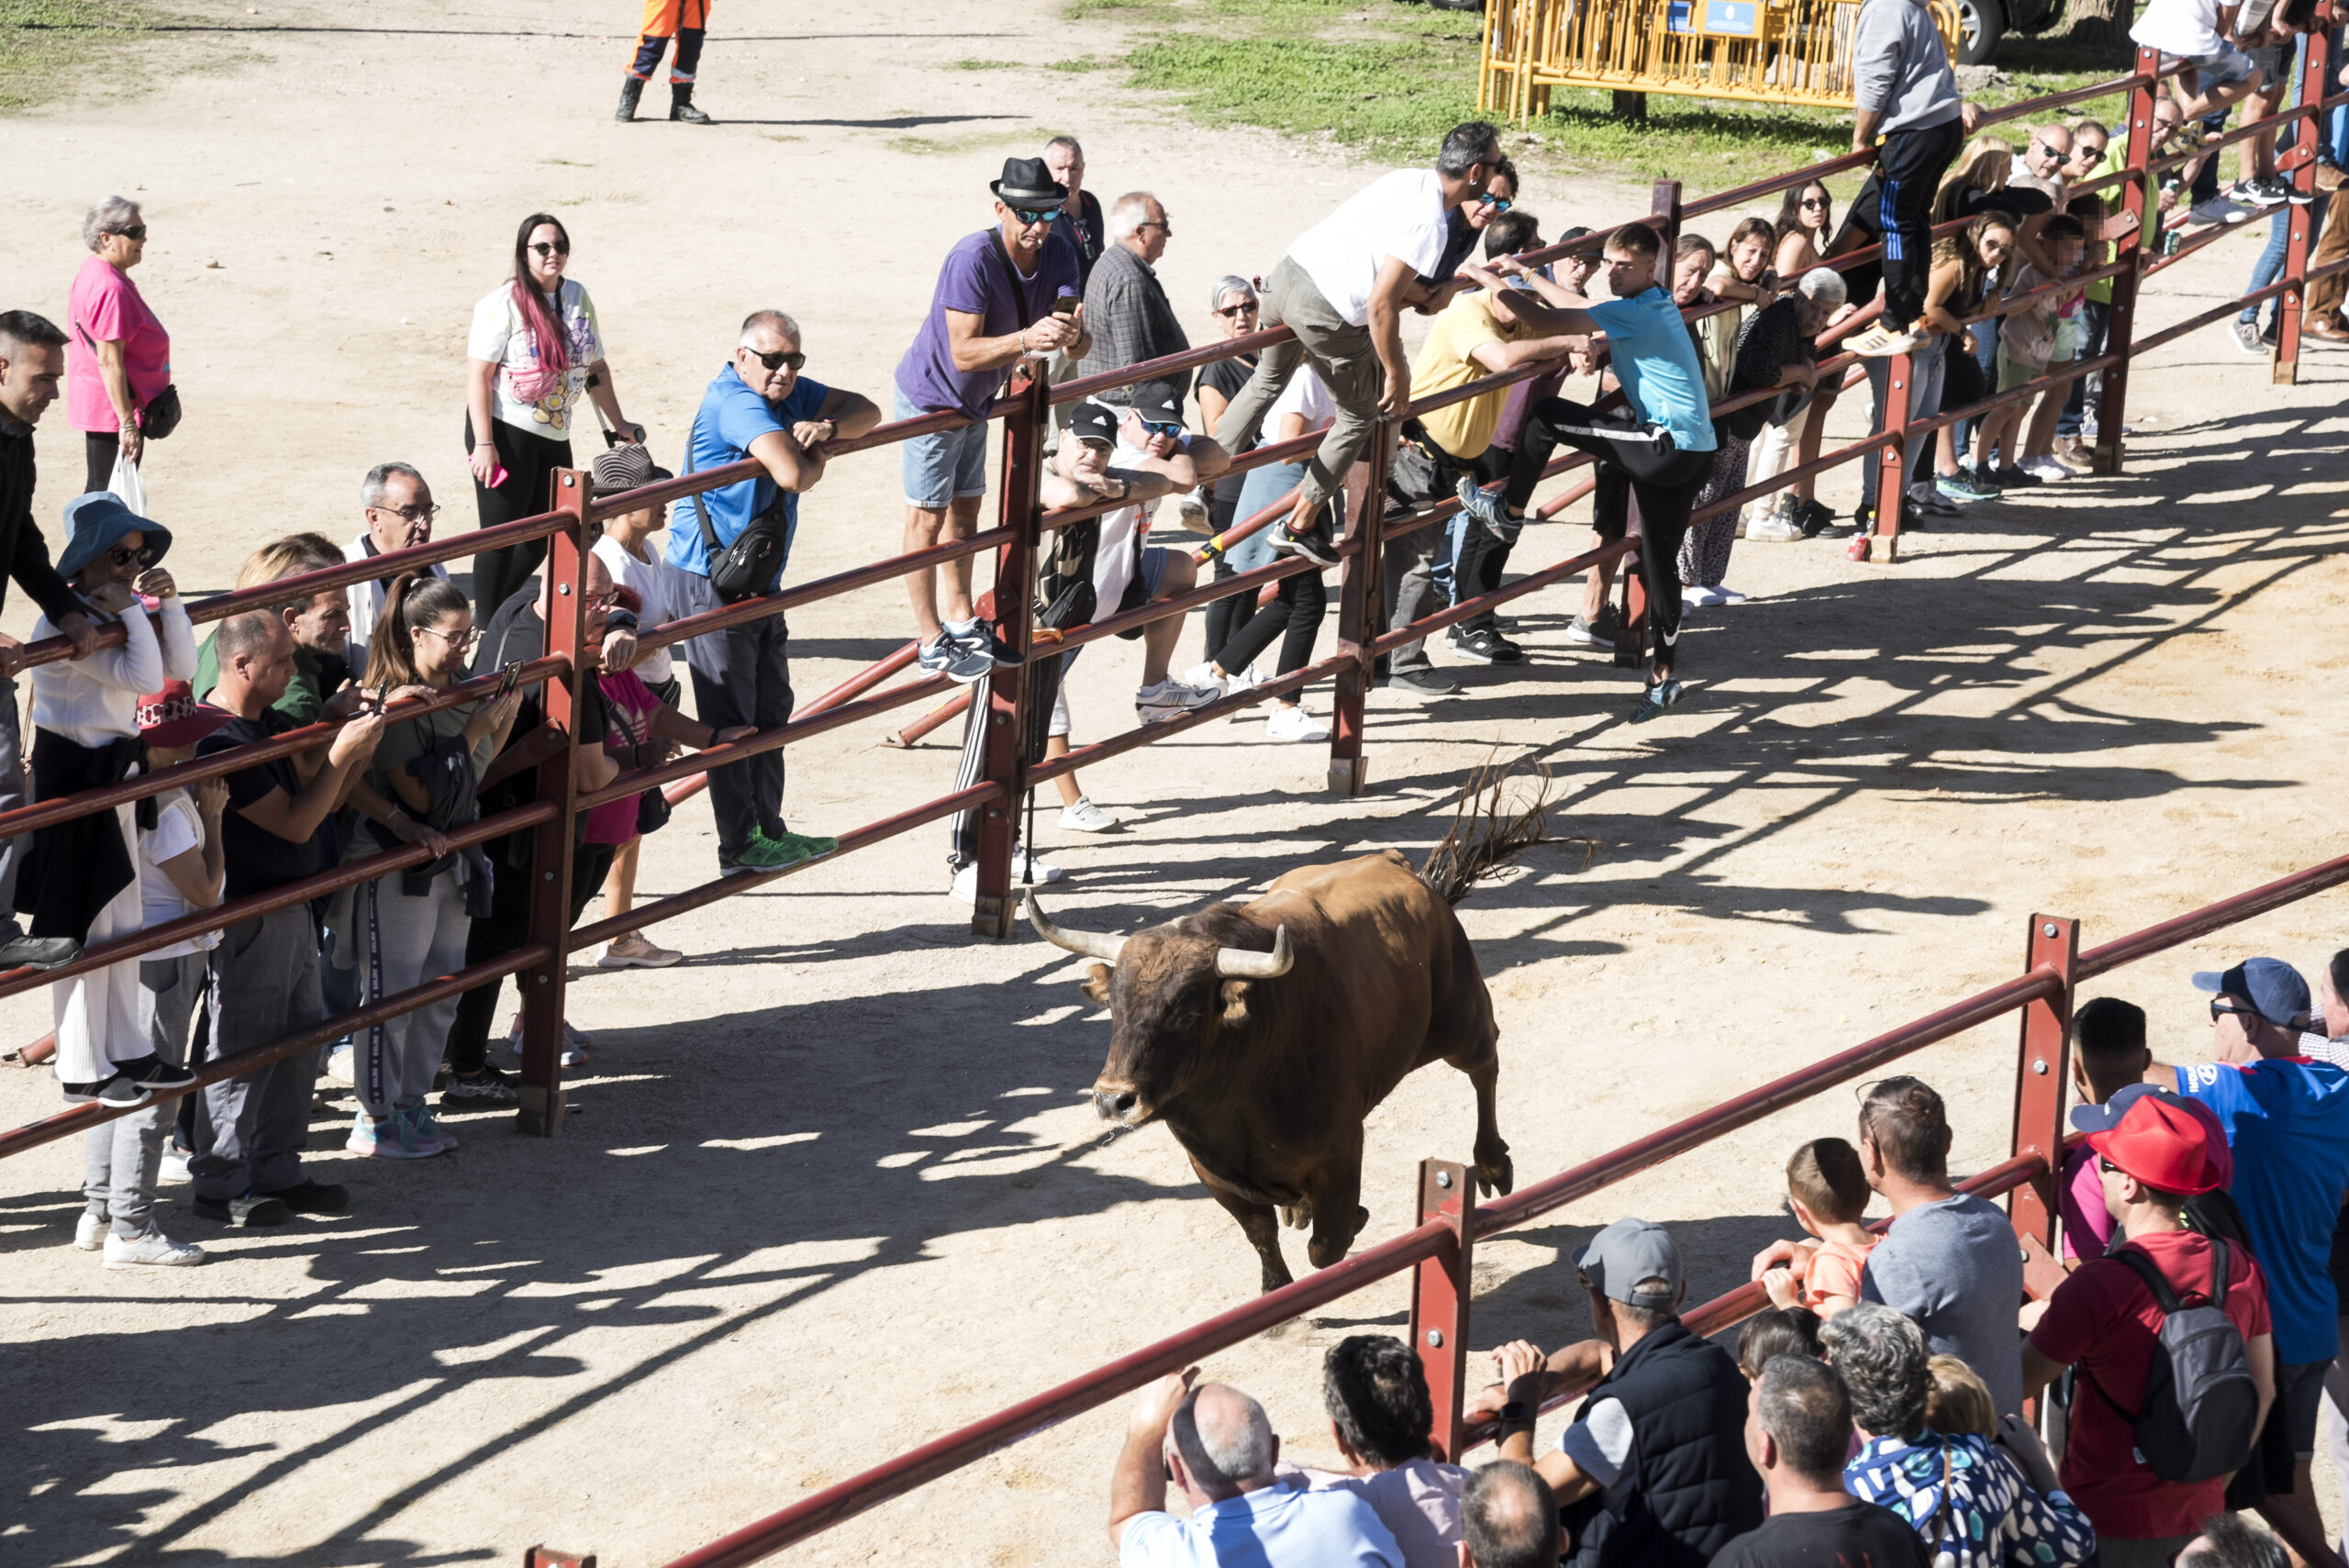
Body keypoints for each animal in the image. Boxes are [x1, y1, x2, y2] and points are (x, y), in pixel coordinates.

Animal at [1033, 850, 1512, 1296]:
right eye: (1115, 1010)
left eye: (1187, 1016)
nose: (1113, 1100)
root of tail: (1391, 861)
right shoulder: (1213, 1173)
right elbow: (1261, 1235)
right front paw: (1275, 1288)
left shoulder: (1340, 1153)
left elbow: (1327, 1246)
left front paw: (1351, 1220)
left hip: (1462, 1018)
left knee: (1485, 1066)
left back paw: (1492, 1165)